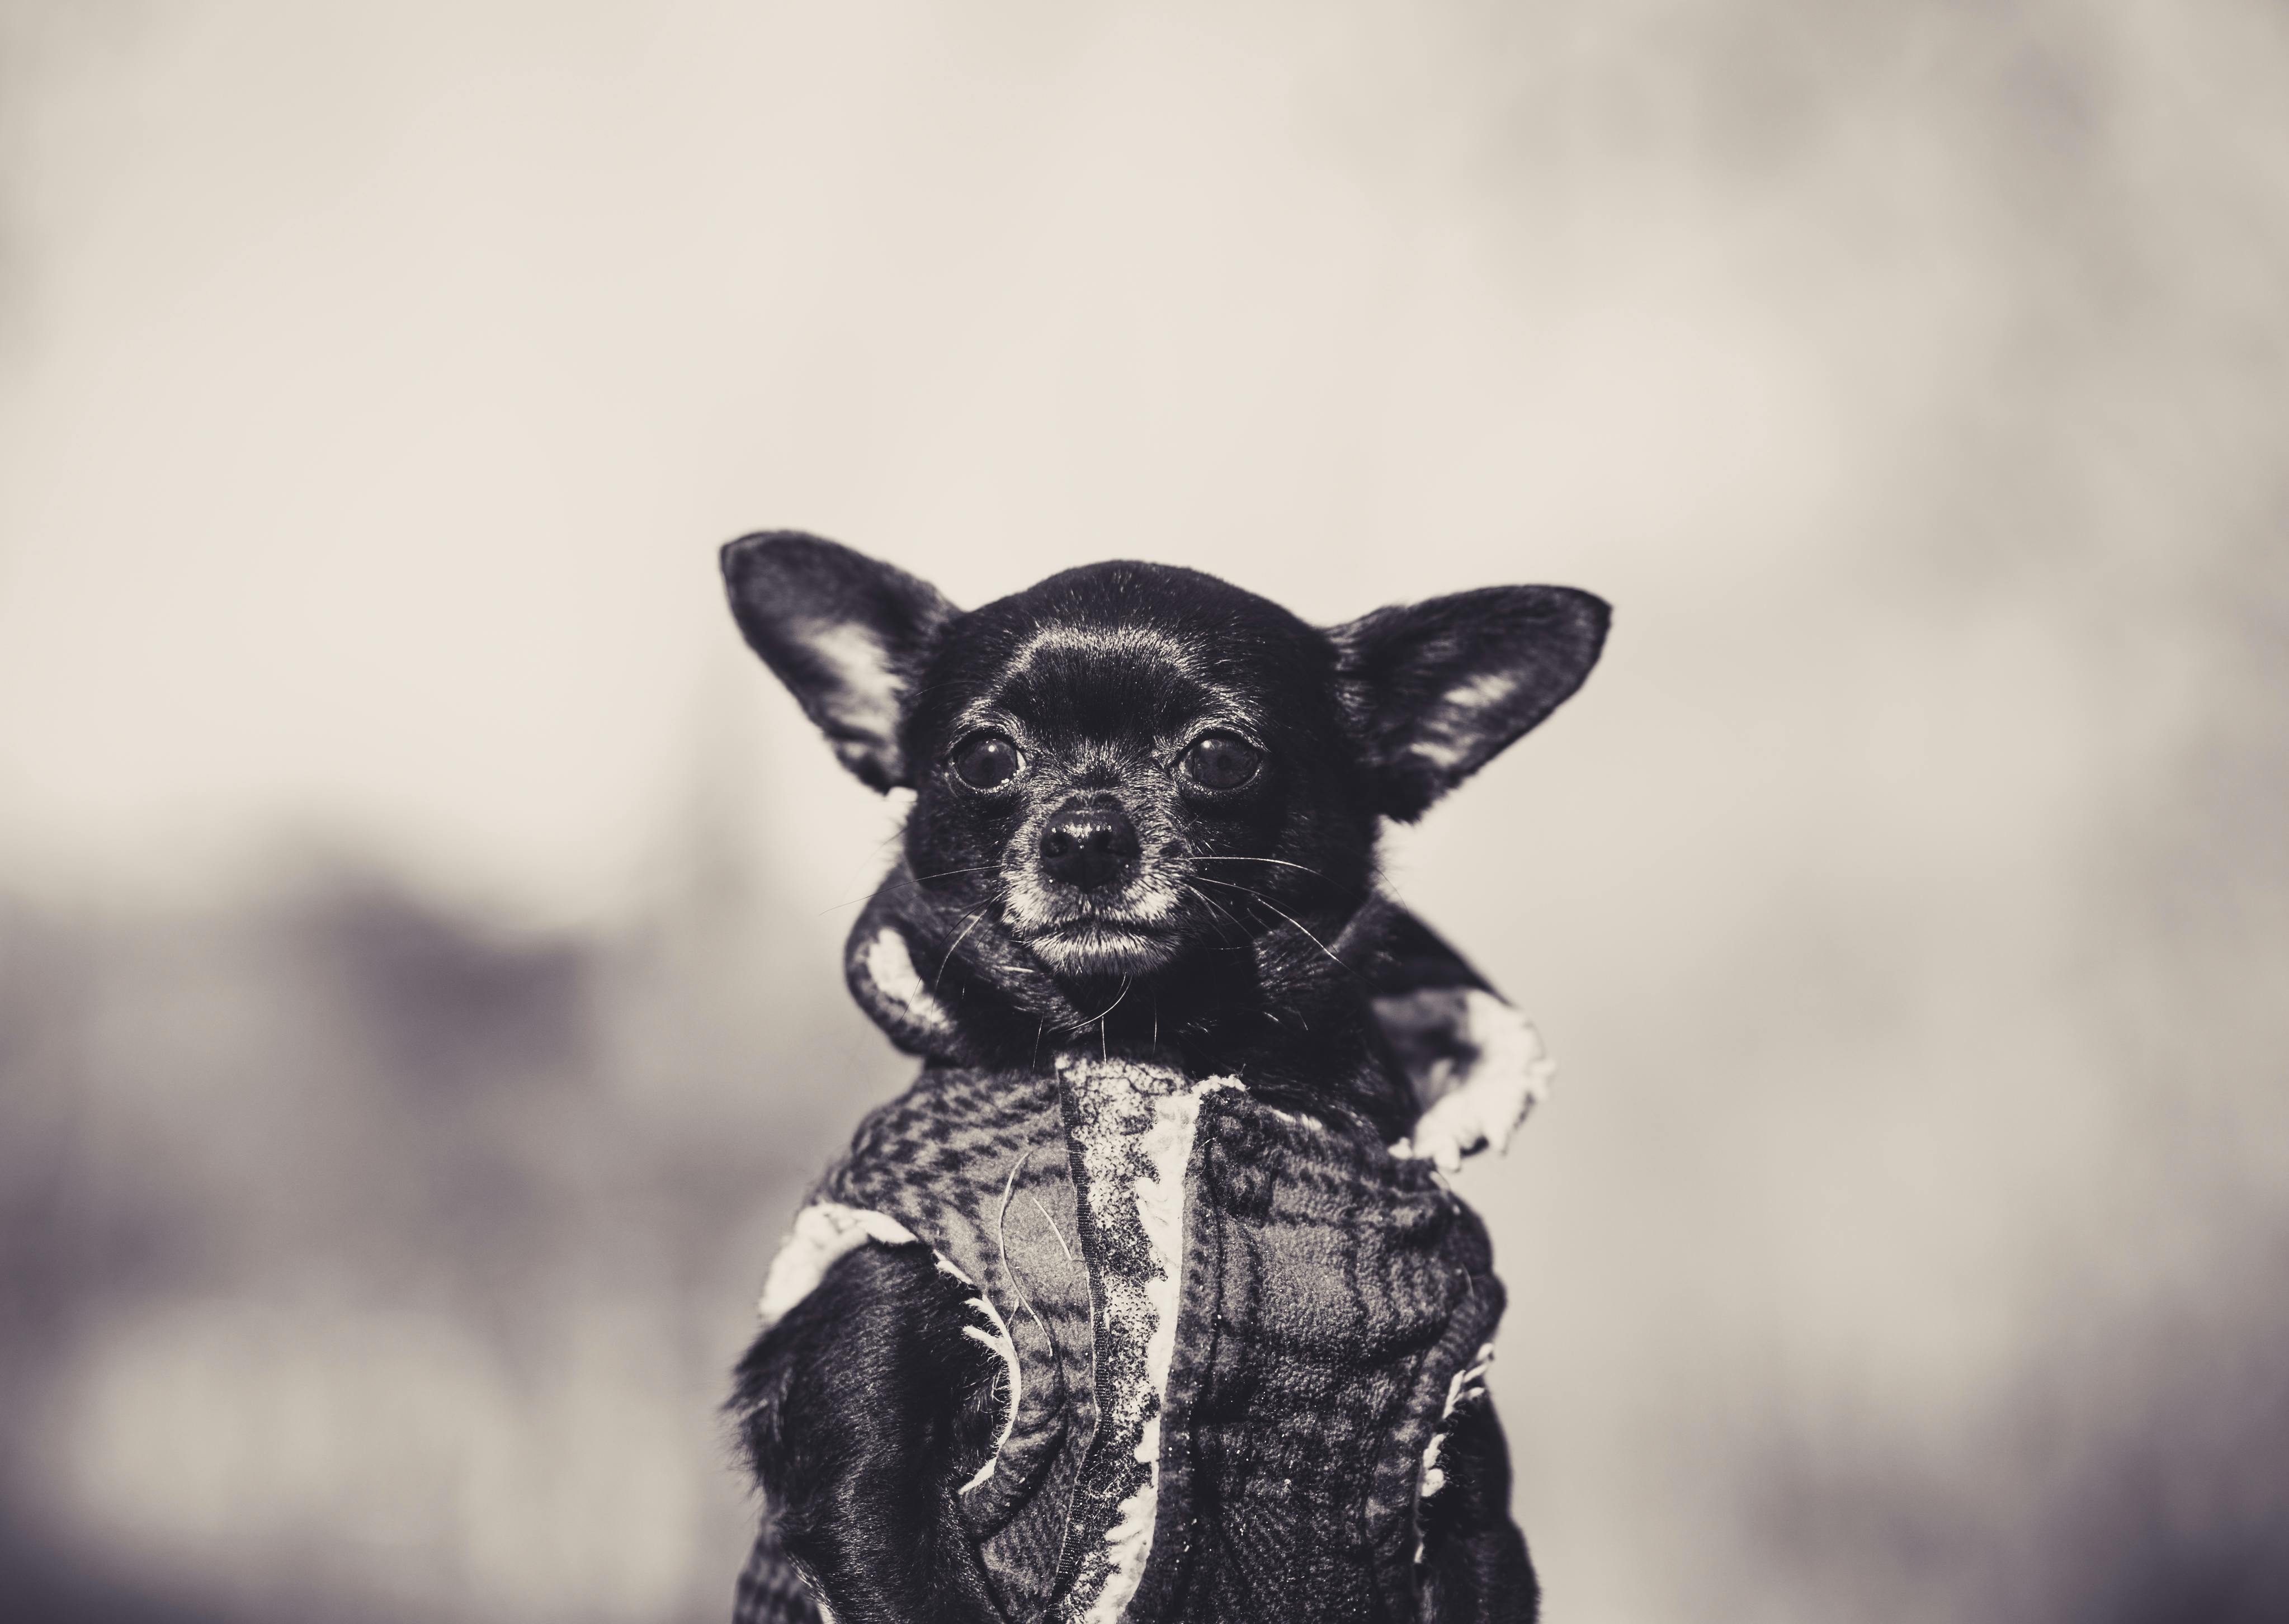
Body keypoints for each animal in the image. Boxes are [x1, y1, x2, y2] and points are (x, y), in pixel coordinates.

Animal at [723, 537, 1602, 1624]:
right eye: (984, 758)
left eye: (1221, 758)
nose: (1083, 836)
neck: (1146, 1053)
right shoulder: (864, 1480)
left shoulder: (1463, 1502)